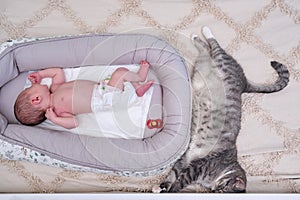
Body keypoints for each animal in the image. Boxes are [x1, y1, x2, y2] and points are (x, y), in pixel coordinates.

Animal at [154, 26, 290, 192]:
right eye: (223, 189)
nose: (214, 190)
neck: (225, 169)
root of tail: (244, 83)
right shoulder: (197, 167)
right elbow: (178, 181)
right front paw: (168, 189)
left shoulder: (187, 160)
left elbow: (175, 174)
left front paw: (161, 187)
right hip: (222, 61)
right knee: (215, 46)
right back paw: (205, 31)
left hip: (206, 61)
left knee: (205, 49)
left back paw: (195, 37)